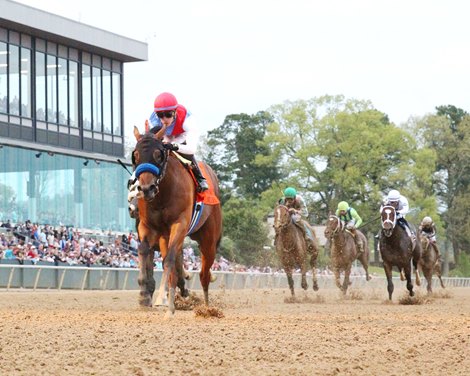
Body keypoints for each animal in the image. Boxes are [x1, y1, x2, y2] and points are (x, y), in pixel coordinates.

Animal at [130, 127, 222, 318]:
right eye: (135, 155)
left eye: (158, 154)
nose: (146, 189)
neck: (163, 194)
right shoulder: (147, 226)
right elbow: (143, 250)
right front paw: (144, 295)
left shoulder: (179, 224)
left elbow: (169, 260)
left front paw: (166, 303)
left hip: (209, 239)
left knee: (204, 273)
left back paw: (207, 307)